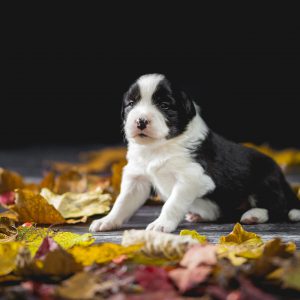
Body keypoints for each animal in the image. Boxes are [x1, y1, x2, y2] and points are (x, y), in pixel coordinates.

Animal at [89, 74, 300, 233]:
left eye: (165, 105)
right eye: (131, 104)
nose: (141, 121)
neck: (158, 147)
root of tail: (282, 178)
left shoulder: (191, 177)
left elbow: (172, 203)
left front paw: (161, 224)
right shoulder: (137, 179)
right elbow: (122, 202)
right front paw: (107, 221)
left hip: (264, 181)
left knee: (278, 208)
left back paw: (254, 215)